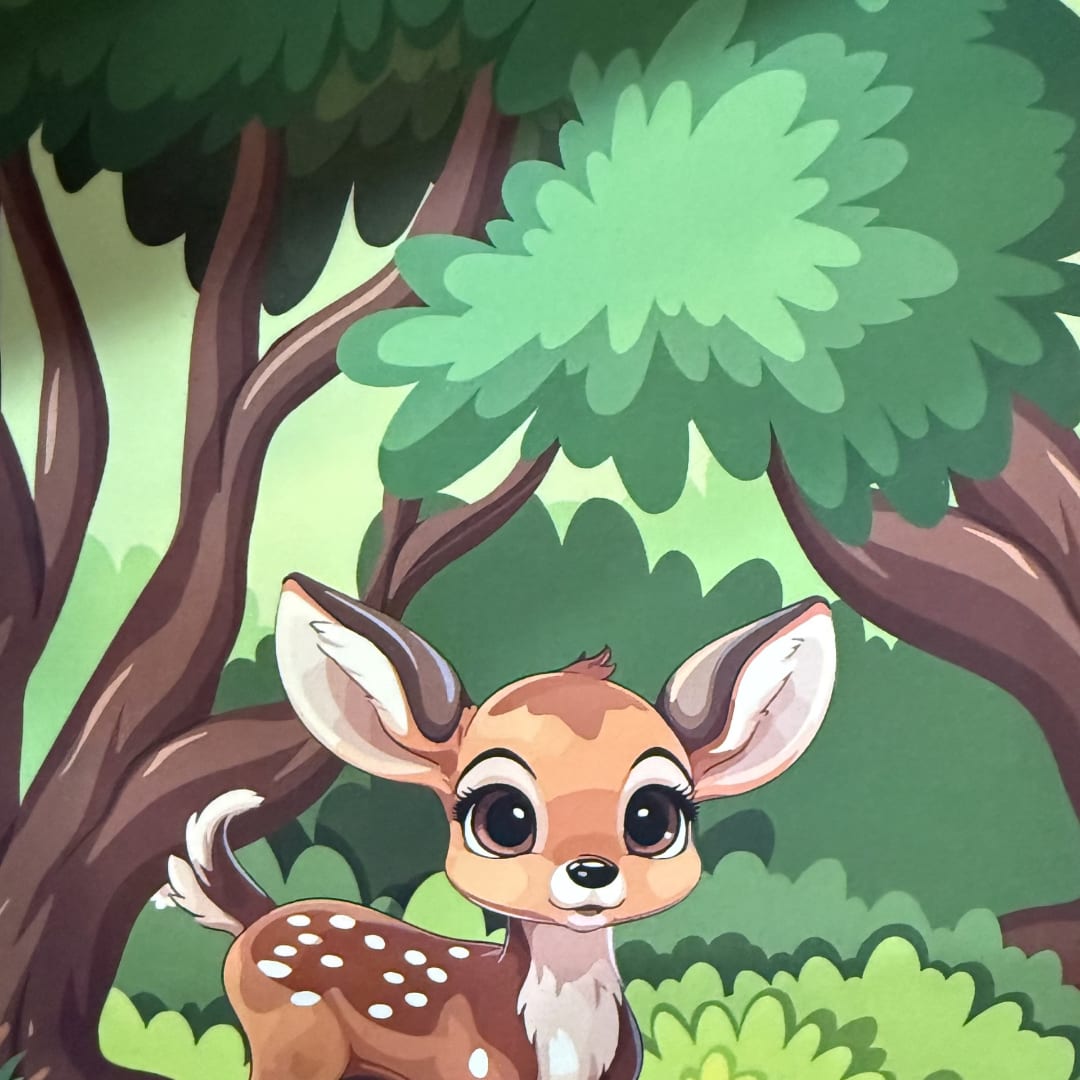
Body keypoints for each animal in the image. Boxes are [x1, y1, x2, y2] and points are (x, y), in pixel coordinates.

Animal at [166, 572, 836, 1080]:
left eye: (654, 817)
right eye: (503, 818)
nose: (590, 870)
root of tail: (259, 919)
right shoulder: (470, 1069)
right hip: (295, 1046)